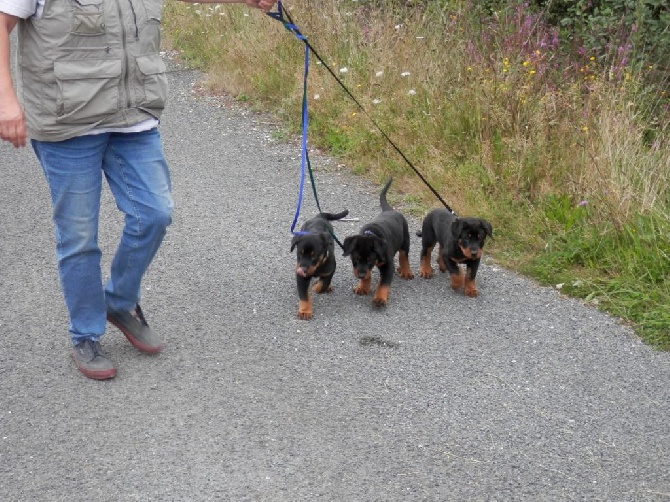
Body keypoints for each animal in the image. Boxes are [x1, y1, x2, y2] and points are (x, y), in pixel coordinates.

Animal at [346, 178, 414, 308]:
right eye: (355, 258)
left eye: (370, 260)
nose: (360, 276)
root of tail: (390, 210)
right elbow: (367, 273)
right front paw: (363, 287)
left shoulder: (388, 265)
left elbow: (383, 284)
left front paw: (379, 299)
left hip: (405, 240)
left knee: (404, 256)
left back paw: (406, 271)